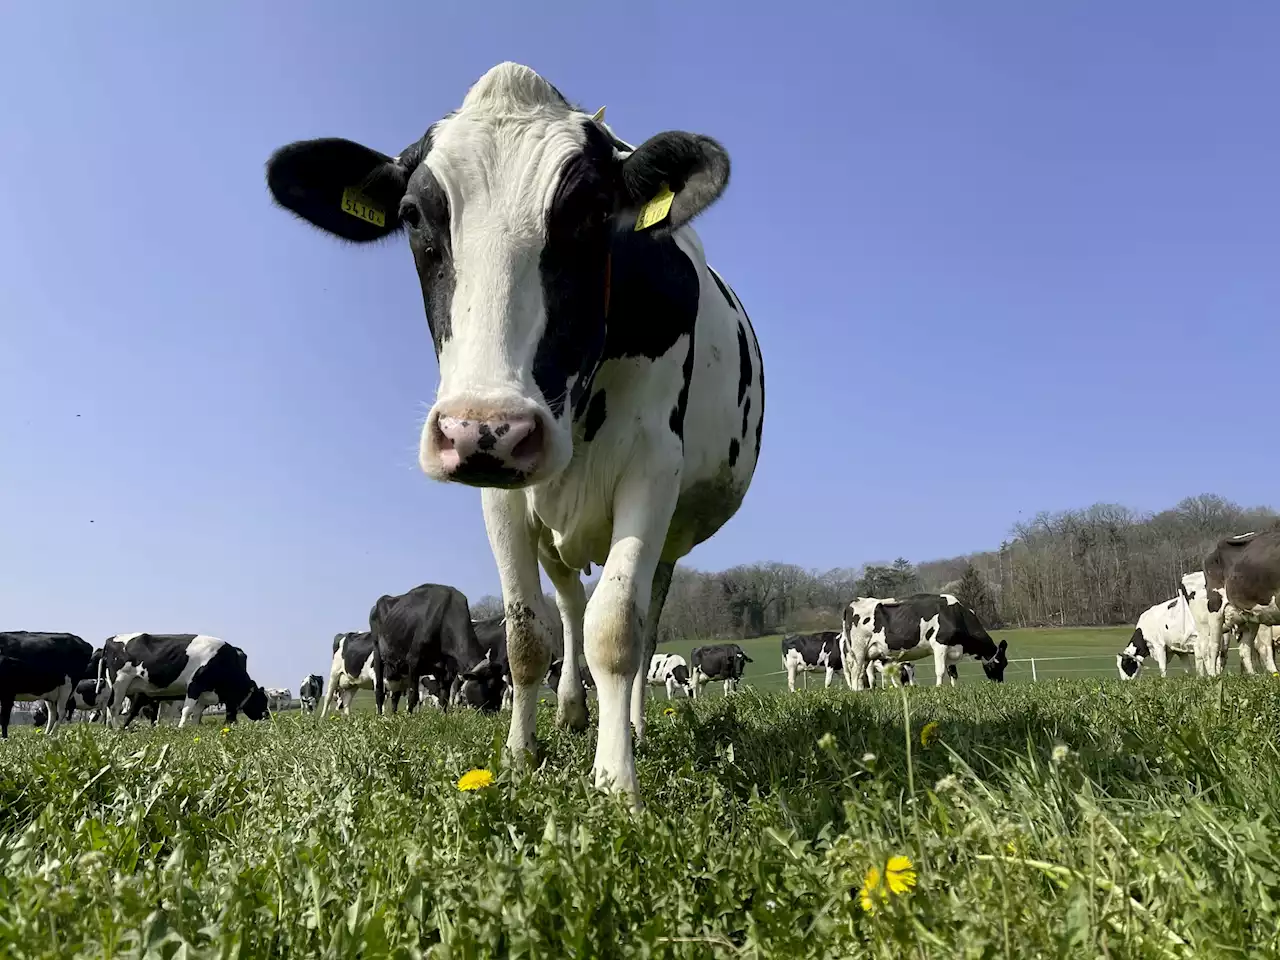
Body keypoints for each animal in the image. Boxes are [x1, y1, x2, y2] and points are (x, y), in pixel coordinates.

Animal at [100, 632, 270, 727]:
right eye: (263, 701)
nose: (267, 717)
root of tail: (110, 639)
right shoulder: (195, 685)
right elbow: (187, 710)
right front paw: (181, 728)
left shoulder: (204, 693)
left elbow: (196, 713)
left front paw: (194, 728)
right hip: (120, 682)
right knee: (113, 707)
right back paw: (117, 728)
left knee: (111, 708)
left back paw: (110, 728)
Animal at [368, 583, 496, 716]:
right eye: (489, 687)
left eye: (500, 686)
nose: (494, 712)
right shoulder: (413, 660)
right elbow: (413, 696)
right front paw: (409, 716)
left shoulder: (445, 669)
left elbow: (444, 697)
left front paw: (443, 716)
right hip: (377, 651)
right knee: (379, 690)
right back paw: (380, 715)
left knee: (395, 694)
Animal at [839, 593, 1008, 691]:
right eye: (1000, 664)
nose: (1000, 683)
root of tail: (853, 602)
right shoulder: (940, 644)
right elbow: (940, 670)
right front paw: (939, 688)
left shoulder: (951, 648)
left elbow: (952, 672)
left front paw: (954, 688)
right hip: (858, 649)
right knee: (855, 671)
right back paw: (856, 691)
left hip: (869, 653)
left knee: (863, 672)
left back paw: (863, 690)